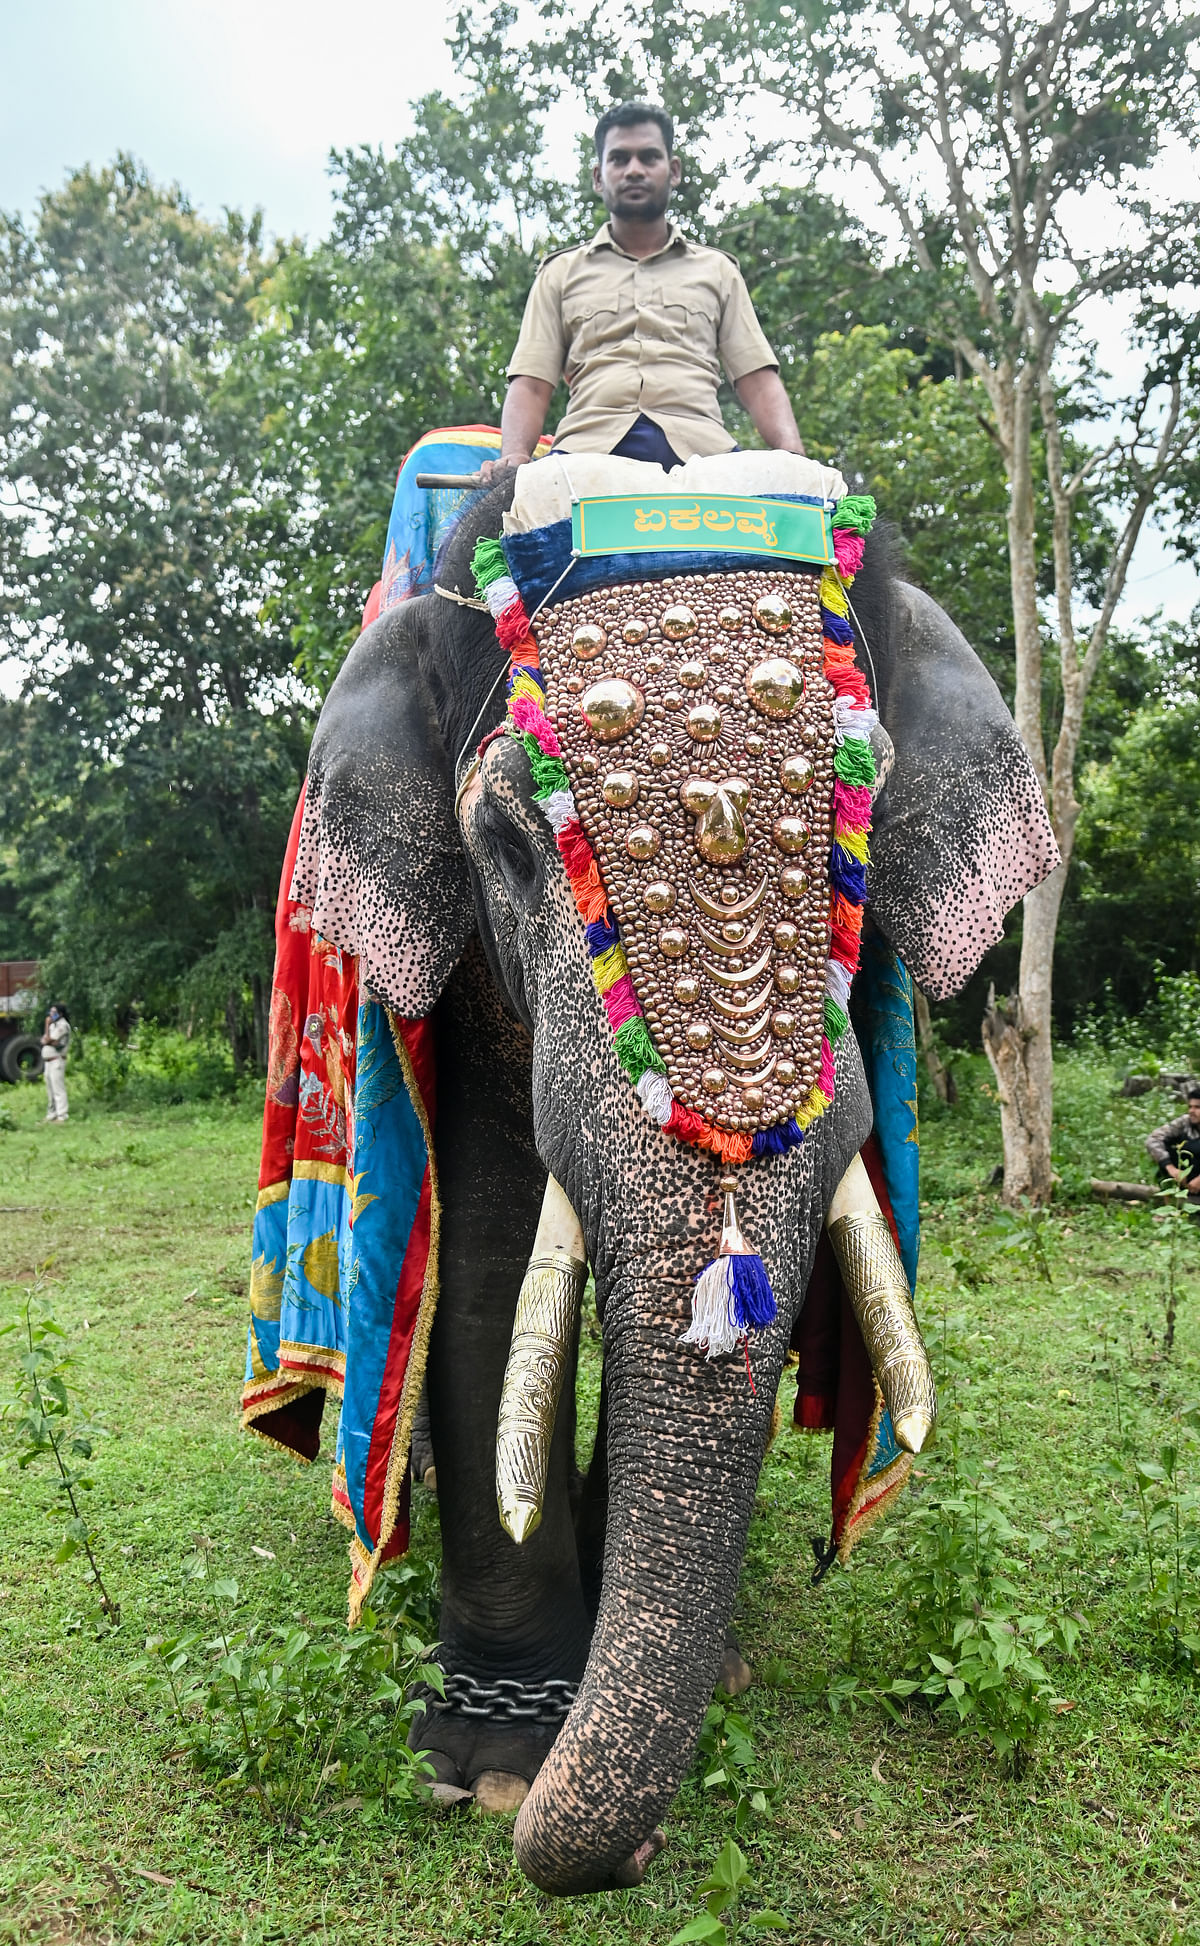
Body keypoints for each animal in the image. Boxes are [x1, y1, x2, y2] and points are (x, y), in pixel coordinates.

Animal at [278, 463, 1050, 1891]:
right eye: (510, 843)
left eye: (864, 812)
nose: (621, 1856)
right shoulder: (465, 980)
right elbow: (486, 1277)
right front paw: (494, 1766)